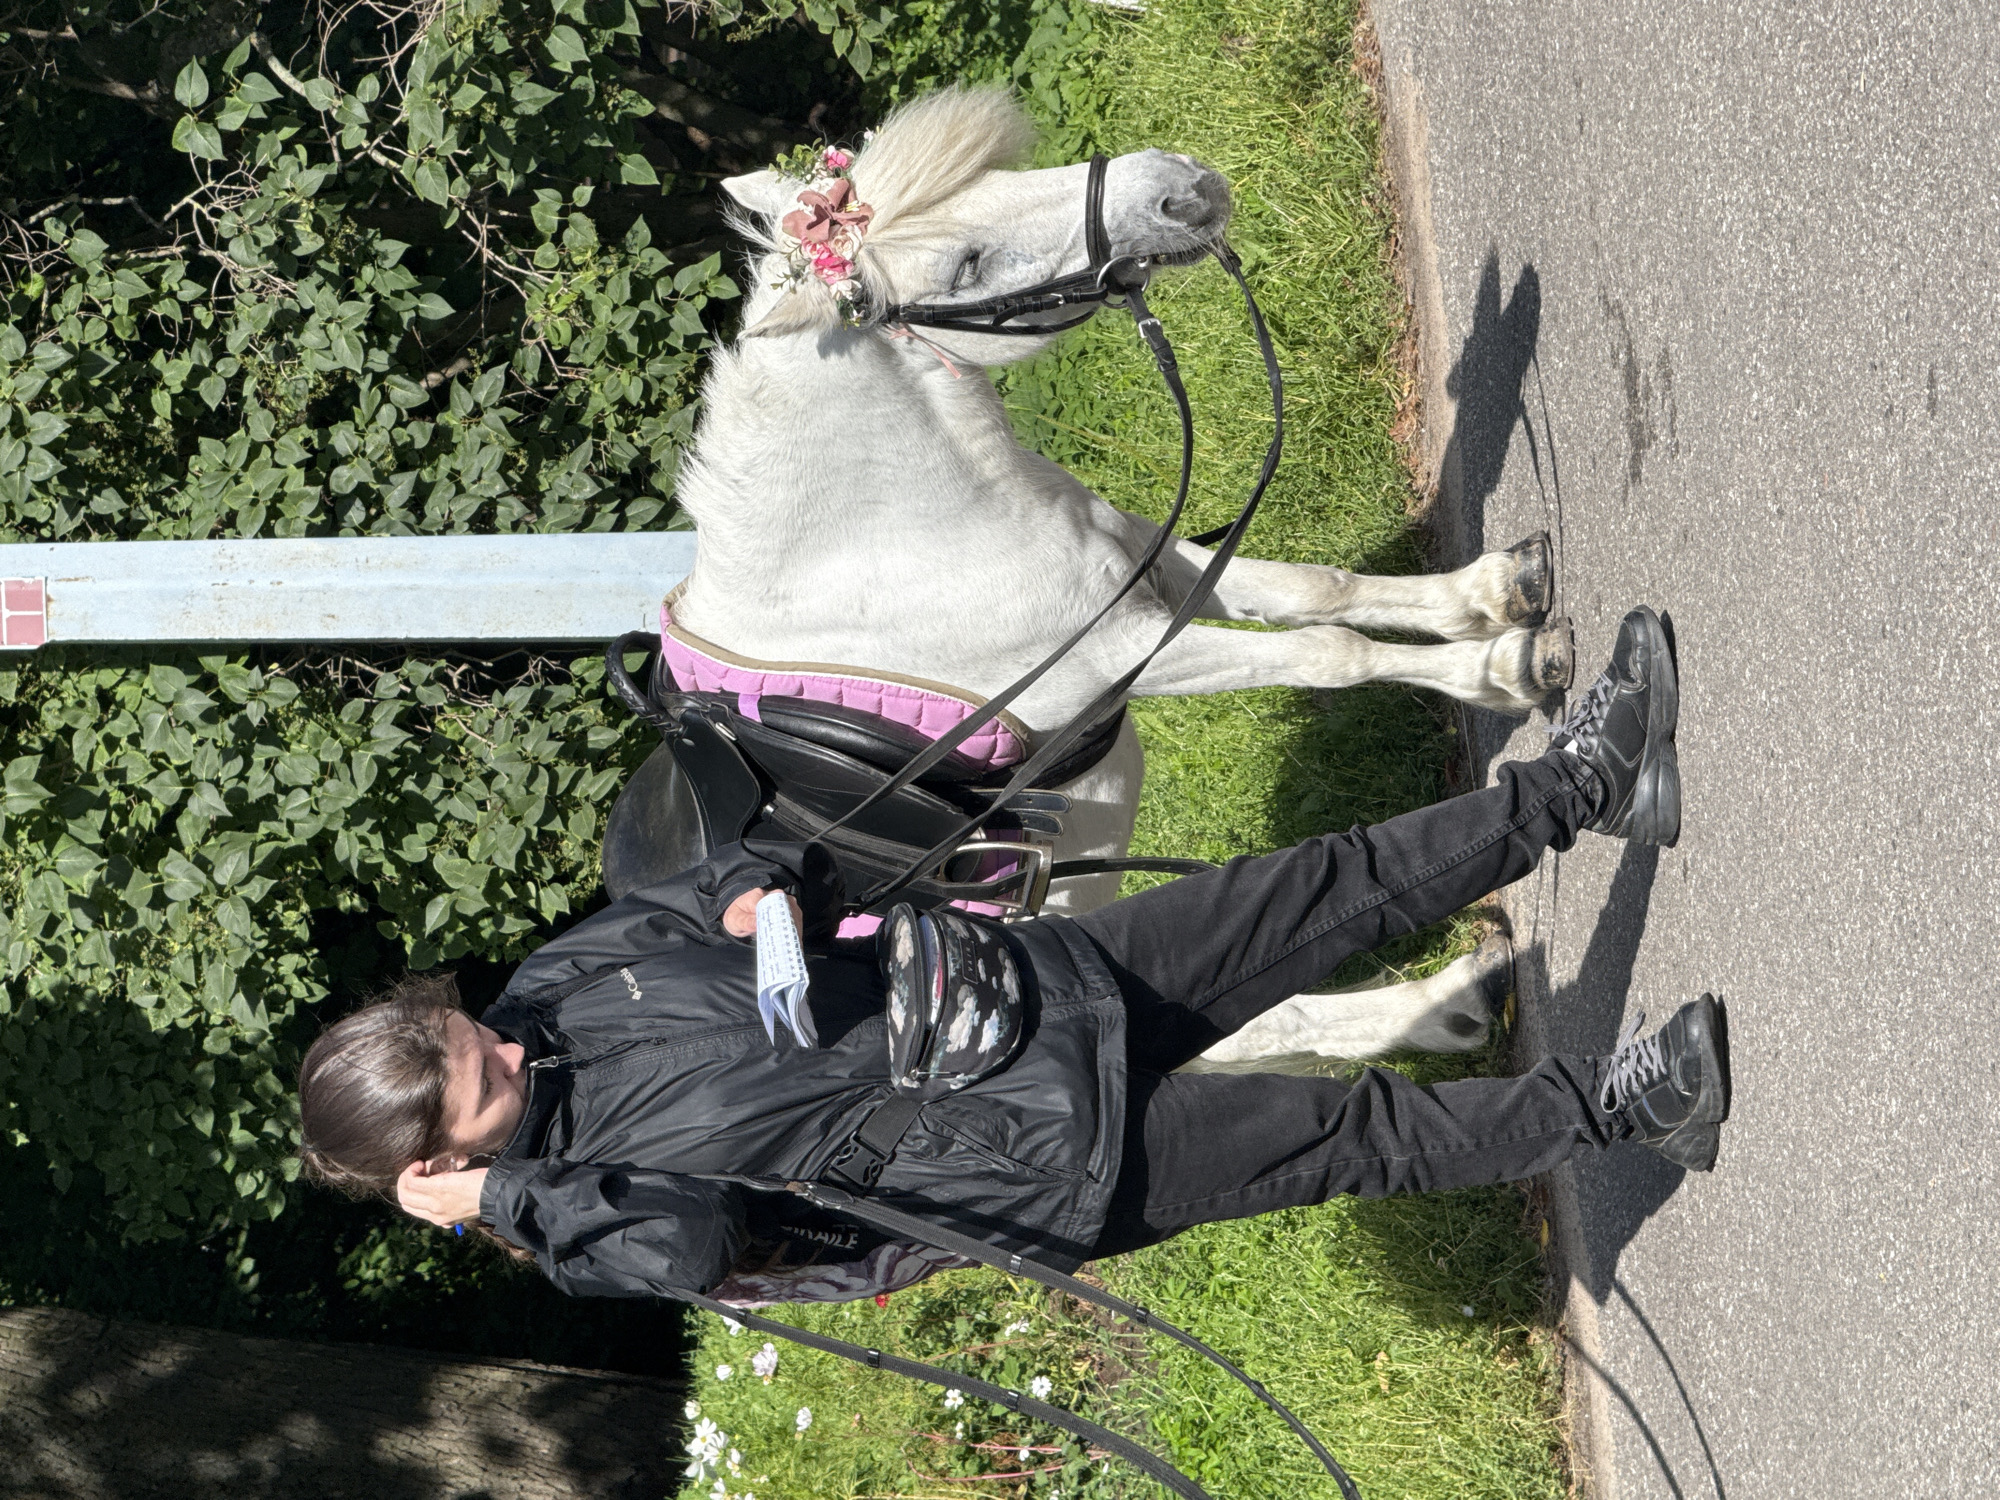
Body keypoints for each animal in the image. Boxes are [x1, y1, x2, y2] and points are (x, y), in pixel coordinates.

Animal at [655, 87, 1564, 1072]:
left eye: (998, 177)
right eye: (966, 263)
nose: (1183, 188)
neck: (880, 537)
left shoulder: (1151, 568)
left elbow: (1317, 592)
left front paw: (1493, 595)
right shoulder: (1125, 653)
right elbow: (1331, 652)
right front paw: (1504, 670)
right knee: (1256, 1017)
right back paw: (1451, 1001)